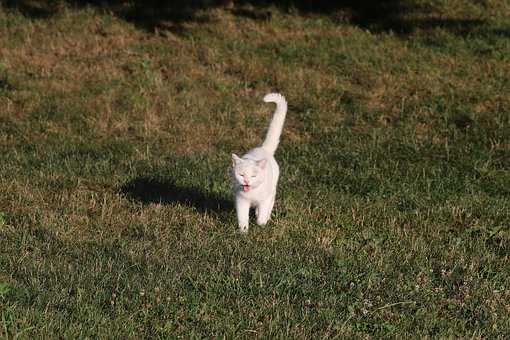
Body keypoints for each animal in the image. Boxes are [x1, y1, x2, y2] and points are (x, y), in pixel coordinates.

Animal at [230, 92, 286, 231]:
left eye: (254, 176)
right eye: (241, 175)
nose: (246, 181)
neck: (252, 194)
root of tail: (263, 148)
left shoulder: (265, 199)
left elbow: (263, 212)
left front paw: (262, 224)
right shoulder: (241, 201)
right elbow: (242, 217)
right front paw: (243, 231)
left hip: (272, 189)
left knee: (270, 202)